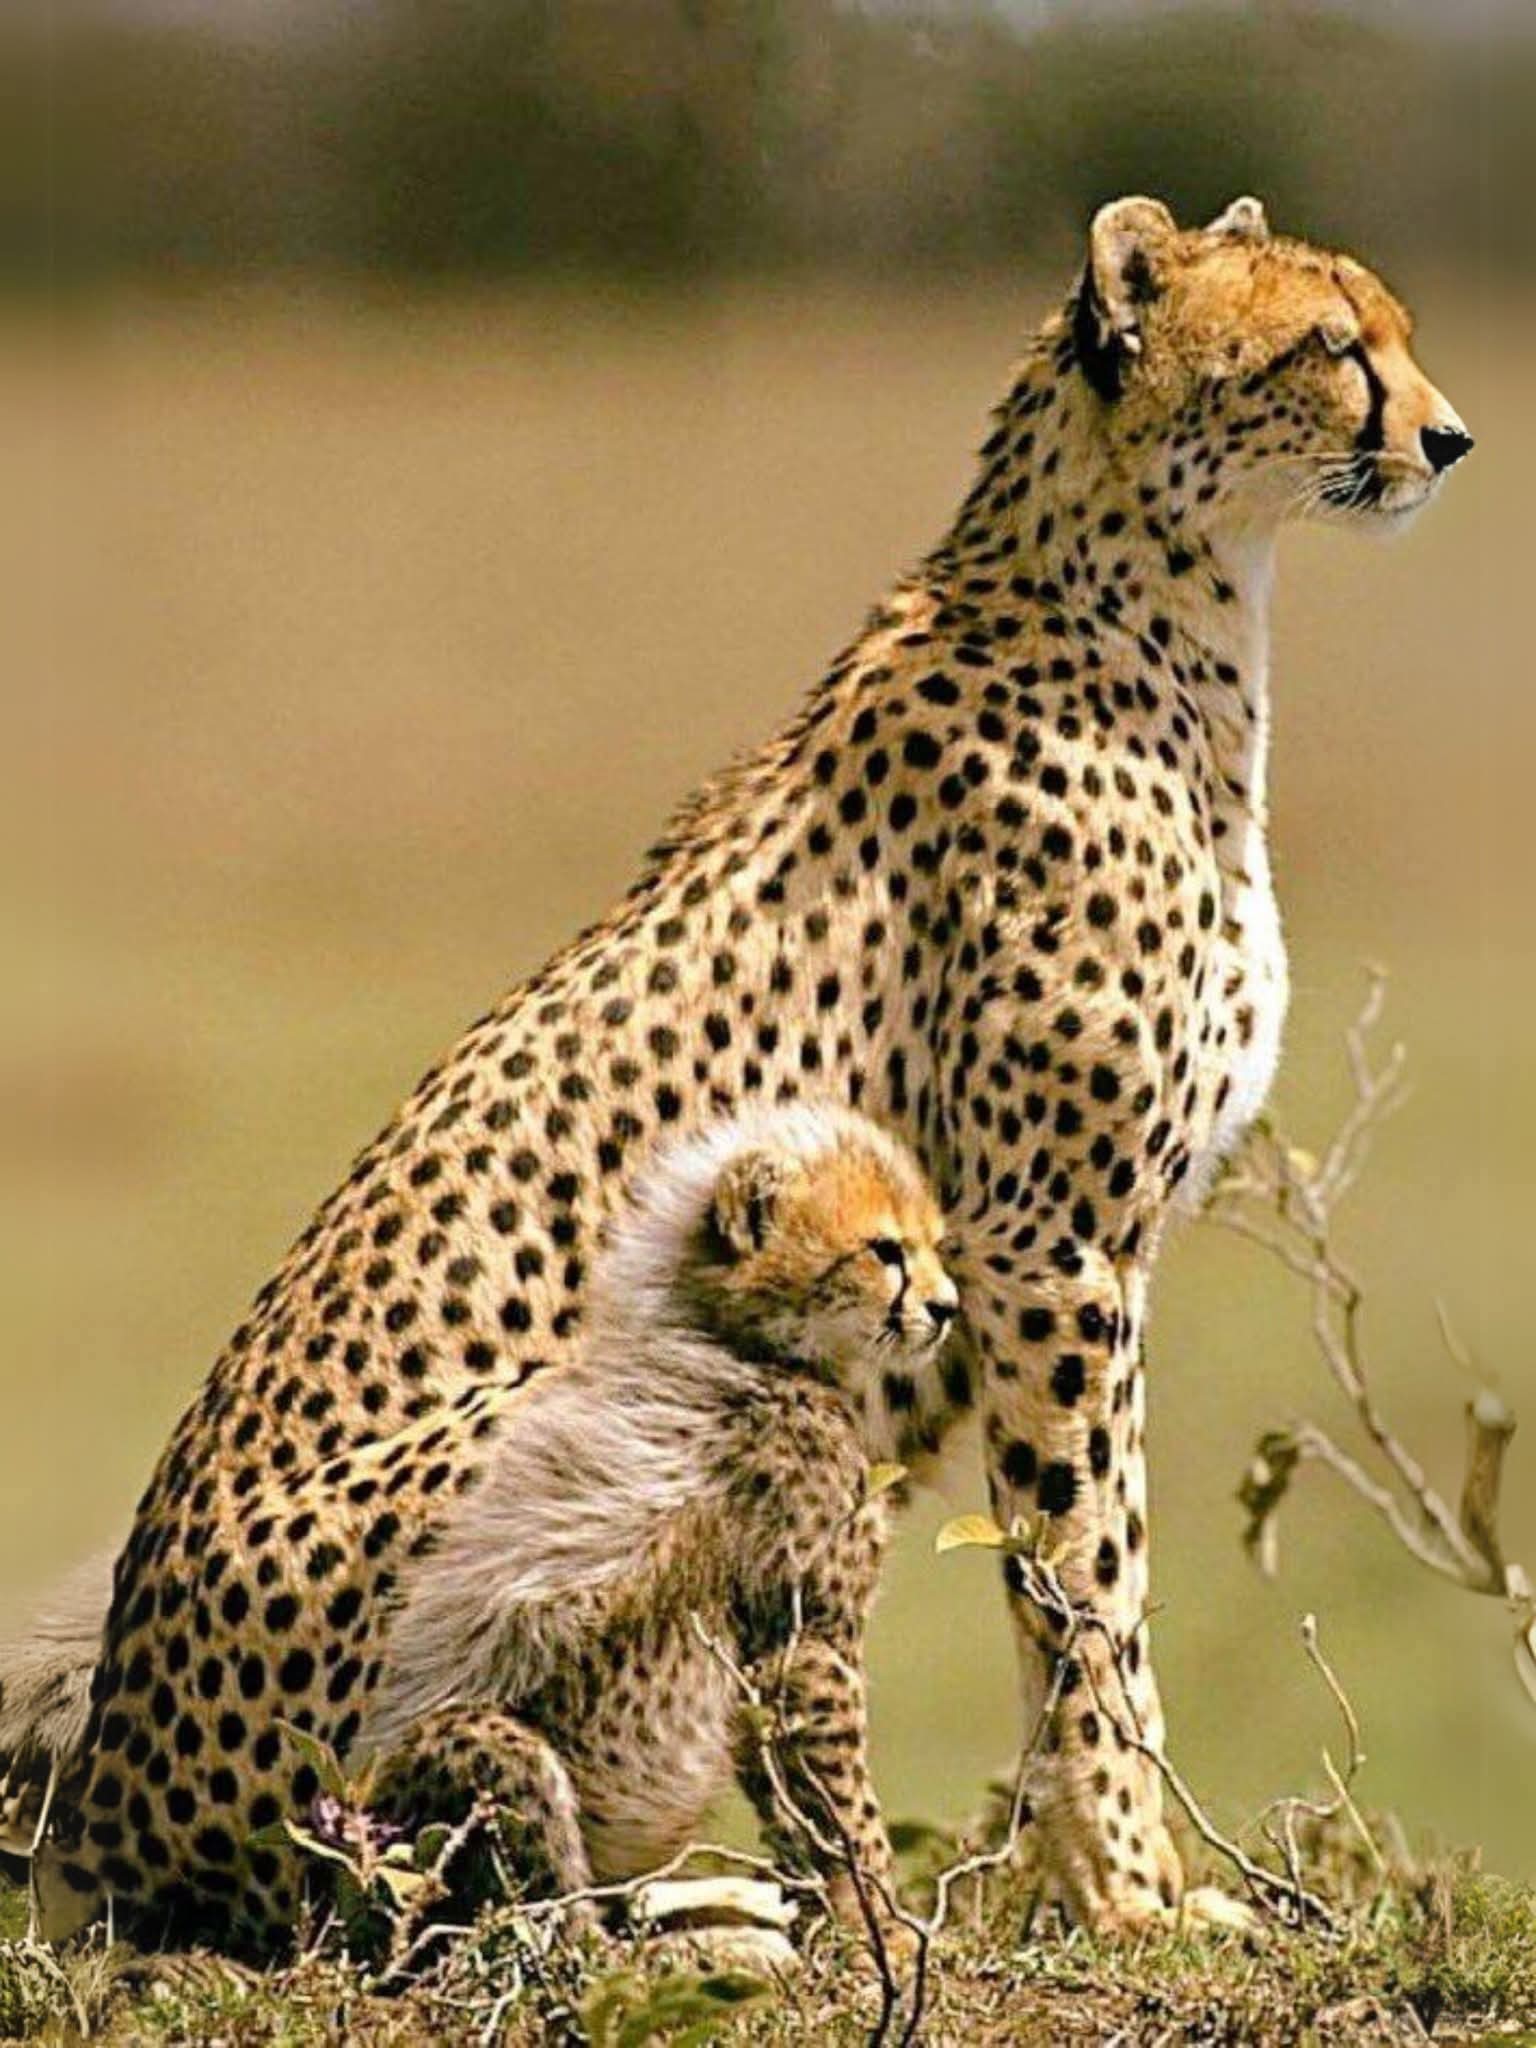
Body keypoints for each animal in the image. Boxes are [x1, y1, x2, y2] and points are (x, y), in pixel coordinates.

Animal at [4, 191, 1471, 1949]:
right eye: (1330, 345)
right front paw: (1125, 1890)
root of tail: (95, 1798)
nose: (1449, 438)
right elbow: (1083, 1583)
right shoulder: (1049, 1249)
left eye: (1391, 329)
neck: (1163, 616)